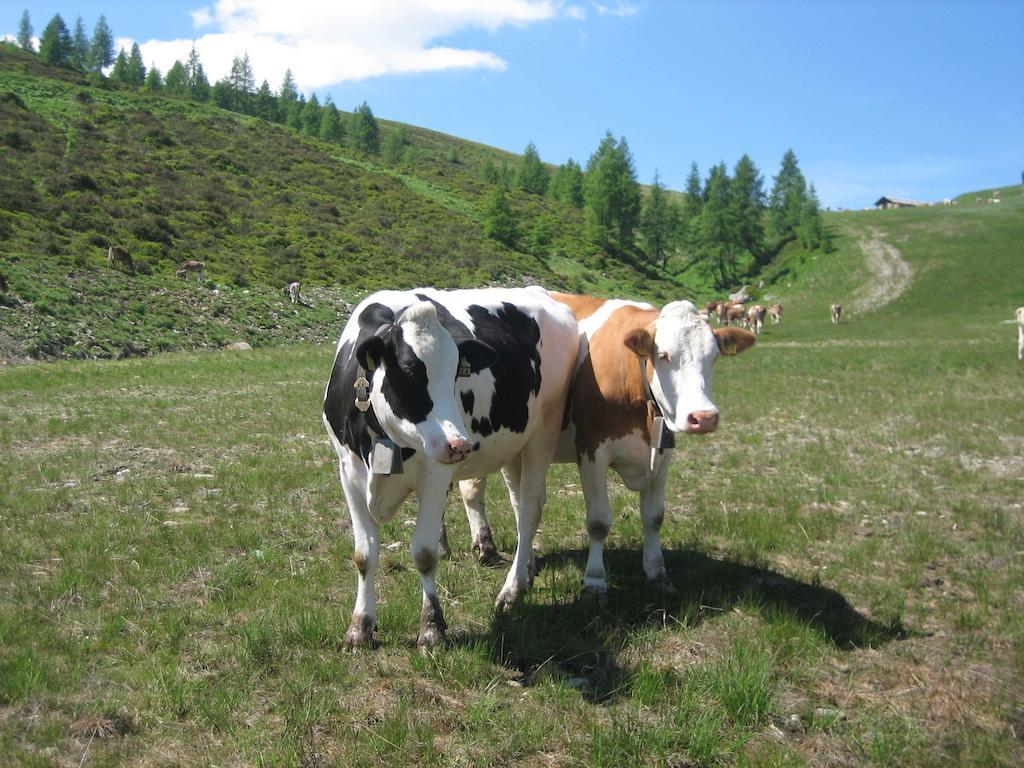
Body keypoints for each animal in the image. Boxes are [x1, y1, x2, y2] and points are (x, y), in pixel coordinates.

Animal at [321, 288, 577, 651]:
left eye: (458, 371)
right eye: (409, 369)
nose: (459, 444)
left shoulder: (435, 474)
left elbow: (425, 554)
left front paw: (432, 628)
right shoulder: (348, 472)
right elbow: (363, 555)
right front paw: (359, 628)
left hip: (543, 434)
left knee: (529, 508)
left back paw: (511, 590)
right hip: (515, 444)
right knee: (518, 504)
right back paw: (525, 569)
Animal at [460, 294, 757, 602]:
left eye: (713, 357)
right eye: (664, 355)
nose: (704, 417)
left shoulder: (664, 453)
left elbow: (654, 517)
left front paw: (657, 573)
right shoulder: (592, 449)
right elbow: (599, 521)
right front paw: (594, 581)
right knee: (479, 492)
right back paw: (486, 548)